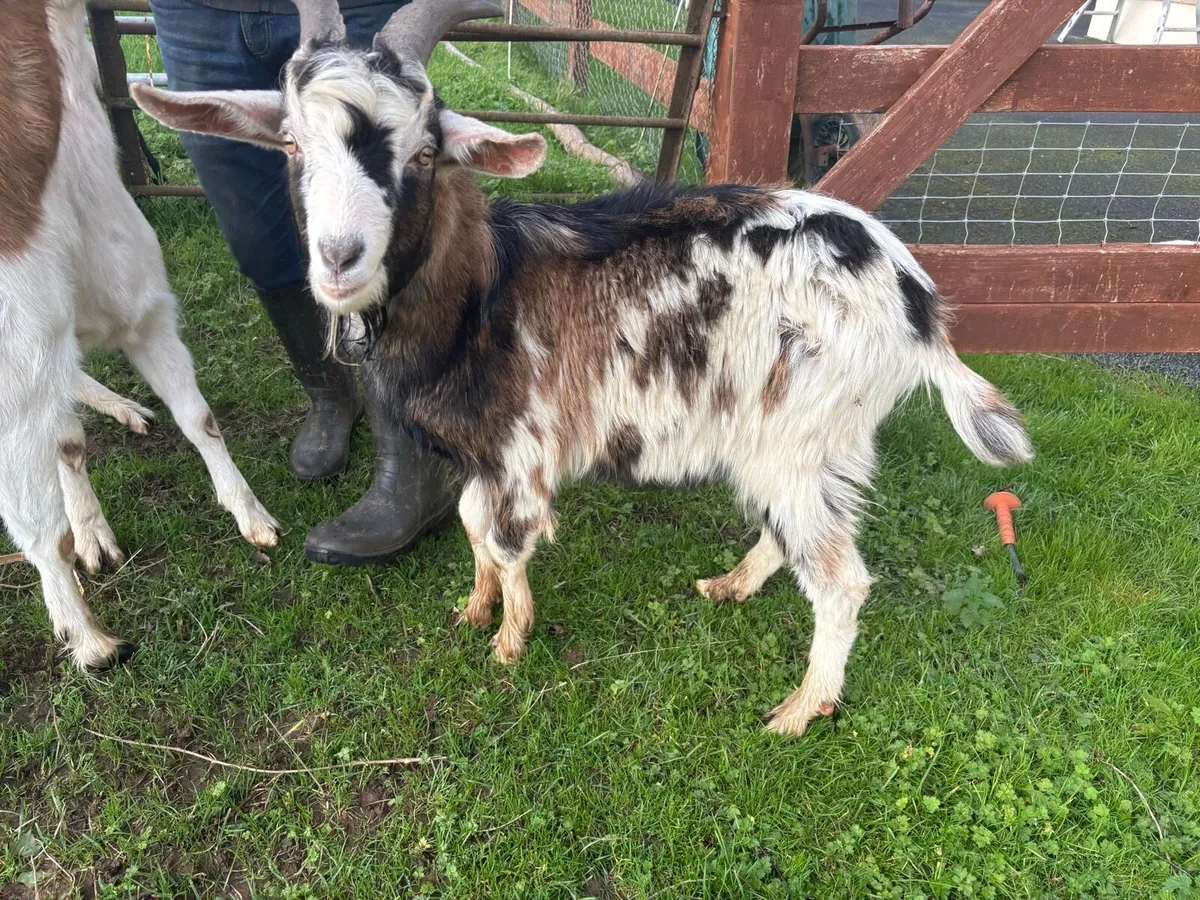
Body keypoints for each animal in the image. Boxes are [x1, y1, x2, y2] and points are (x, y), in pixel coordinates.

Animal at [0, 0, 279, 668]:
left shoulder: (141, 310)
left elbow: (199, 419)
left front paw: (250, 513)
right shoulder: (19, 364)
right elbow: (39, 519)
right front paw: (85, 634)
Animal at [133, 0, 1033, 735]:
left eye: (423, 152)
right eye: (289, 141)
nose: (339, 258)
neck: (480, 294)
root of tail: (918, 304)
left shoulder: (523, 448)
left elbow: (508, 540)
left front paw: (508, 641)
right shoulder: (482, 451)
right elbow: (471, 525)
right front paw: (474, 608)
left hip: (800, 433)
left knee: (841, 579)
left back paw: (801, 709)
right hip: (803, 442)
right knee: (793, 534)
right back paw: (731, 587)